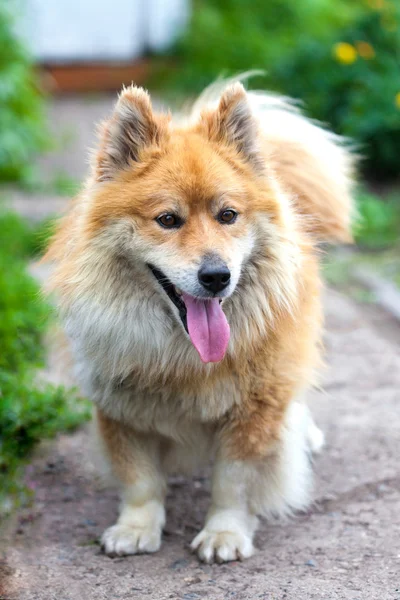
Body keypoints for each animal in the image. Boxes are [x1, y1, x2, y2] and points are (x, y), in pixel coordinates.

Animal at [45, 79, 354, 564]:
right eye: (168, 220)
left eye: (227, 215)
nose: (216, 276)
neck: (183, 359)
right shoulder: (120, 408)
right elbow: (140, 479)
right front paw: (136, 528)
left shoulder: (255, 408)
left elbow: (233, 483)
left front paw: (225, 534)